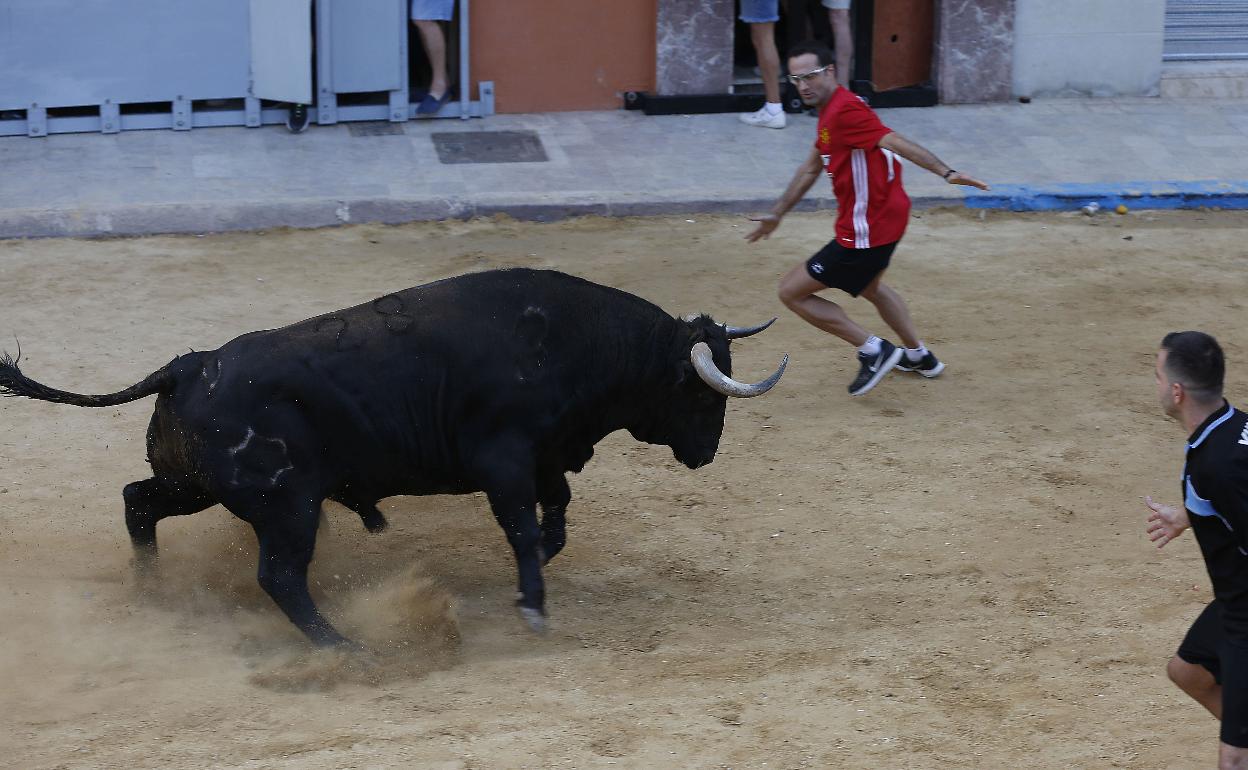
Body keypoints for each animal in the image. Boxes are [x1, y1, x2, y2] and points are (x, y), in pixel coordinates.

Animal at [0, 267, 783, 643]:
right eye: (702, 398)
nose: (706, 454)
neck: (571, 341)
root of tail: (189, 366)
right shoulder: (504, 462)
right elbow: (524, 528)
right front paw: (532, 605)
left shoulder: (545, 459)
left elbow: (554, 516)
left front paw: (535, 576)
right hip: (287, 505)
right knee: (279, 577)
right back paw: (344, 648)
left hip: (195, 484)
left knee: (138, 502)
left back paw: (152, 591)